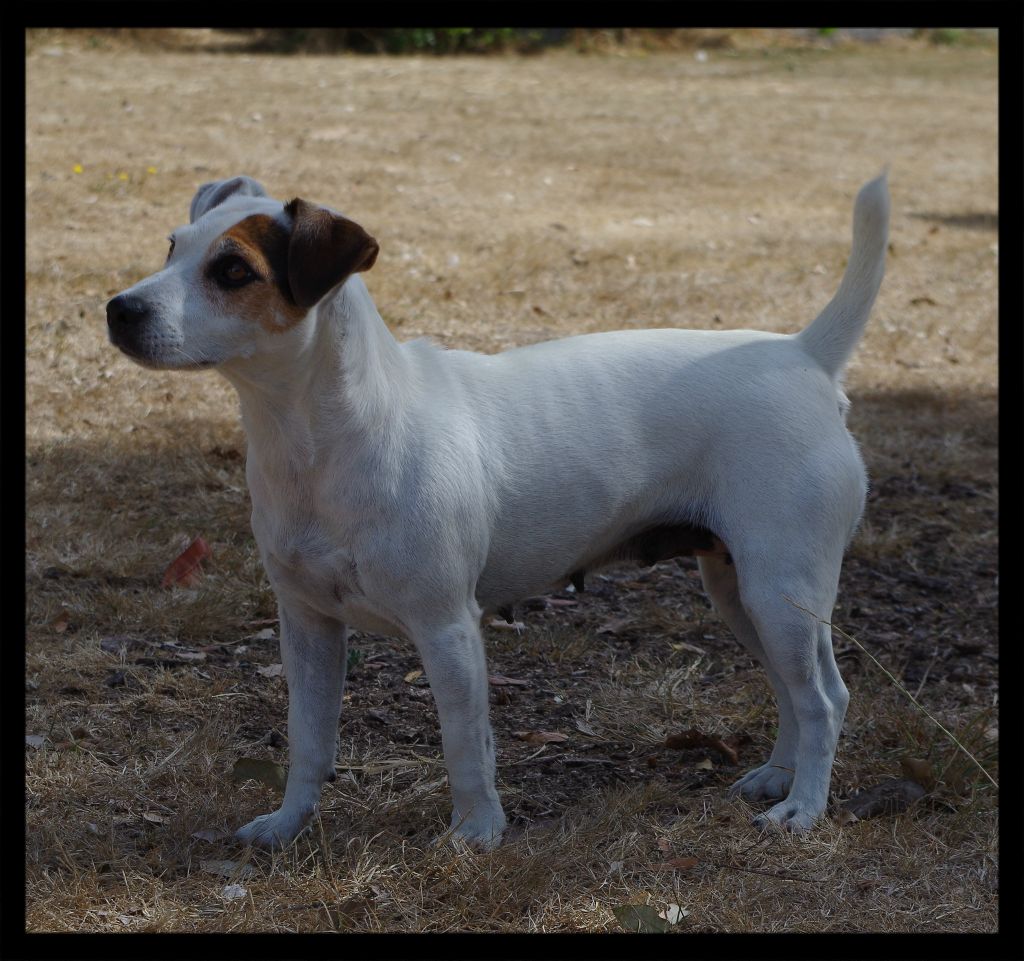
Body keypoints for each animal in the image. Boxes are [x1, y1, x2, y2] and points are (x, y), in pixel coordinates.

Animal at [105, 172, 888, 848]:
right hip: (744, 594)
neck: (325, 440)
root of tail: (804, 356)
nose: (118, 308)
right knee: (800, 691)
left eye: (233, 271)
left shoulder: (447, 628)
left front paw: (476, 833)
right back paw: (779, 777)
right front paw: (288, 824)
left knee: (821, 701)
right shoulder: (308, 627)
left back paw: (804, 808)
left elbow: (463, 743)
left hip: (777, 591)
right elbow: (309, 740)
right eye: (171, 247)